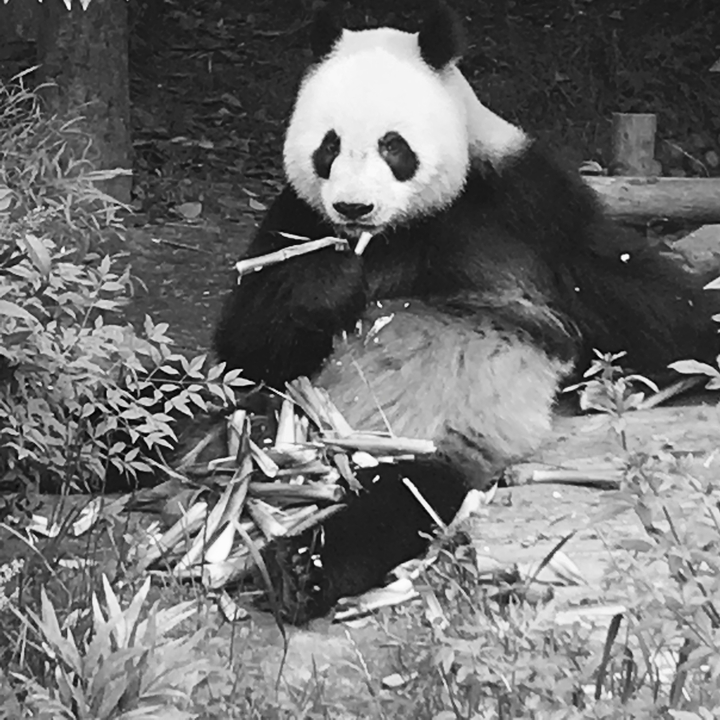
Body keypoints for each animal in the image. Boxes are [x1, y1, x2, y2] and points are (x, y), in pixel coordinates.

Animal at [214, 3, 718, 623]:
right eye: (328, 146)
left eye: (393, 146)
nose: (354, 208)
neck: (401, 230)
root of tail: (324, 455)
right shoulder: (296, 217)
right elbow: (247, 340)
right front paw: (332, 279)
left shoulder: (526, 198)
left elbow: (627, 288)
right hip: (262, 415)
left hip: (432, 443)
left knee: (399, 501)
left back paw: (299, 568)